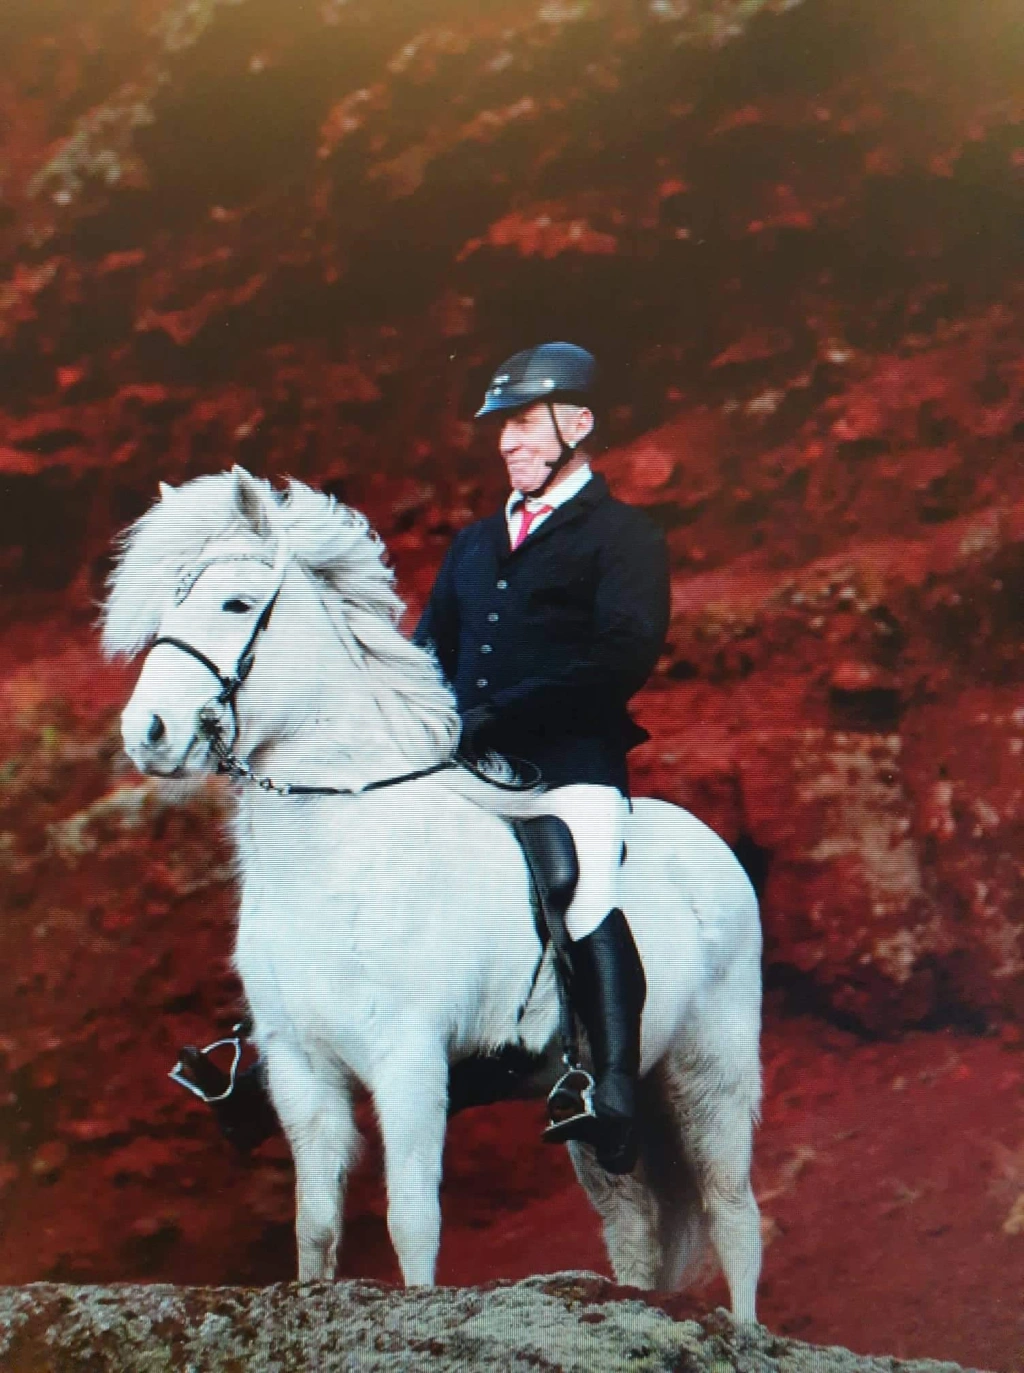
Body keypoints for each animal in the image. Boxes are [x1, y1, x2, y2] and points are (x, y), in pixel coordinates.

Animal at [102, 466, 763, 1320]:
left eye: (236, 605)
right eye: (169, 605)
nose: (147, 732)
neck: (336, 855)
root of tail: (710, 846)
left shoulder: (410, 1056)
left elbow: (411, 1219)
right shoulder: (300, 1065)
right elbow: (316, 1224)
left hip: (711, 1066)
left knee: (733, 1212)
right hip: (594, 1115)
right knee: (636, 1226)